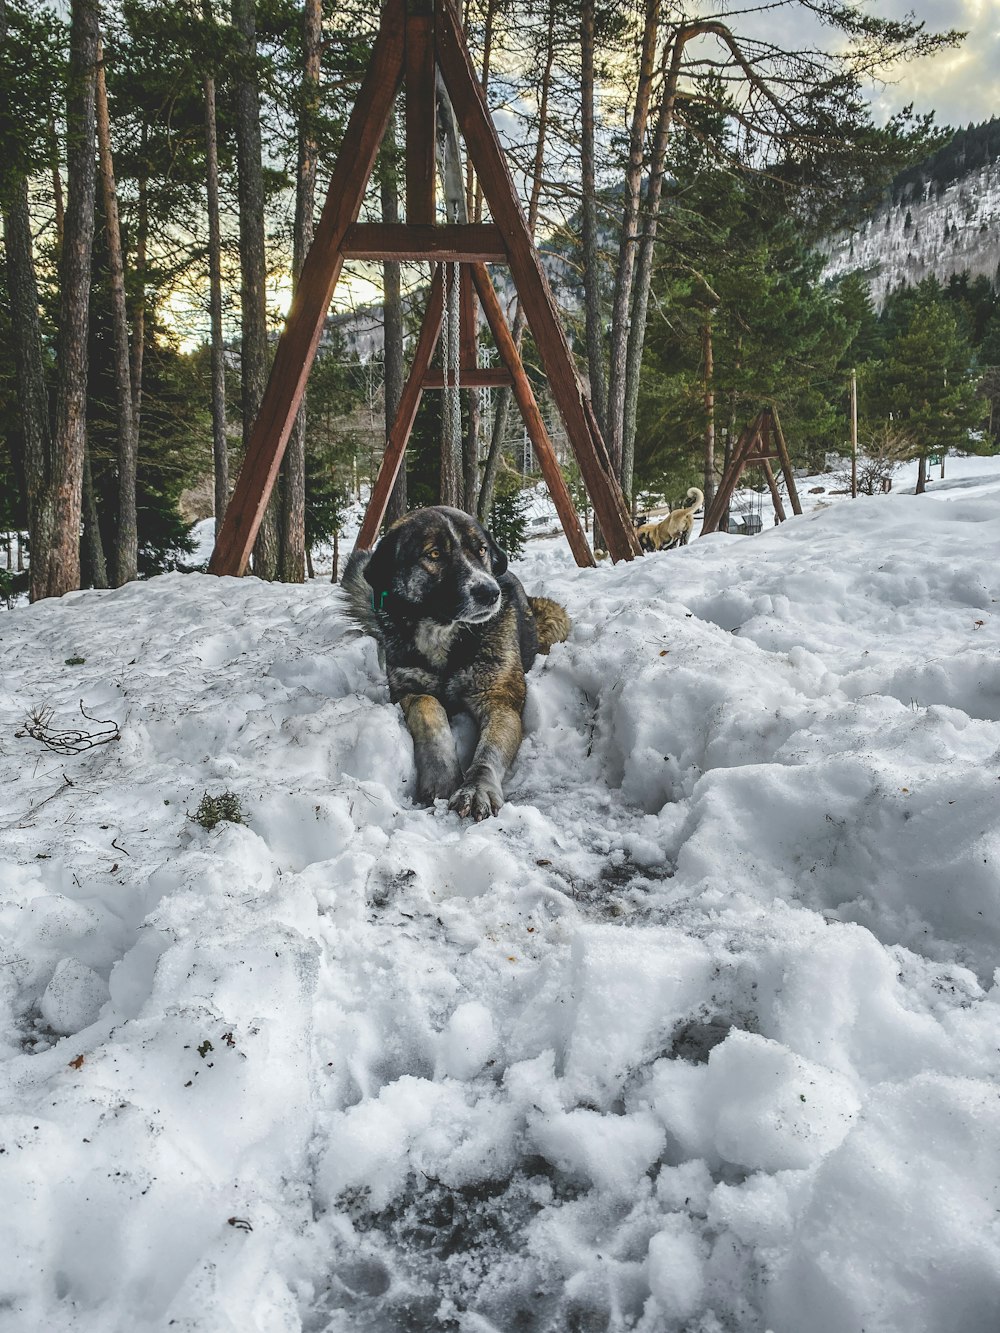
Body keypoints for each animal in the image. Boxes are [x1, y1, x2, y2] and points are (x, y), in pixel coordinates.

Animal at [344, 503, 570, 815]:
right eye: (434, 554)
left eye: (482, 550)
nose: (490, 593)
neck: (445, 633)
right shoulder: (407, 691)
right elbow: (429, 710)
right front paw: (441, 778)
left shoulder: (499, 699)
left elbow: (489, 750)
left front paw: (477, 788)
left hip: (555, 618)